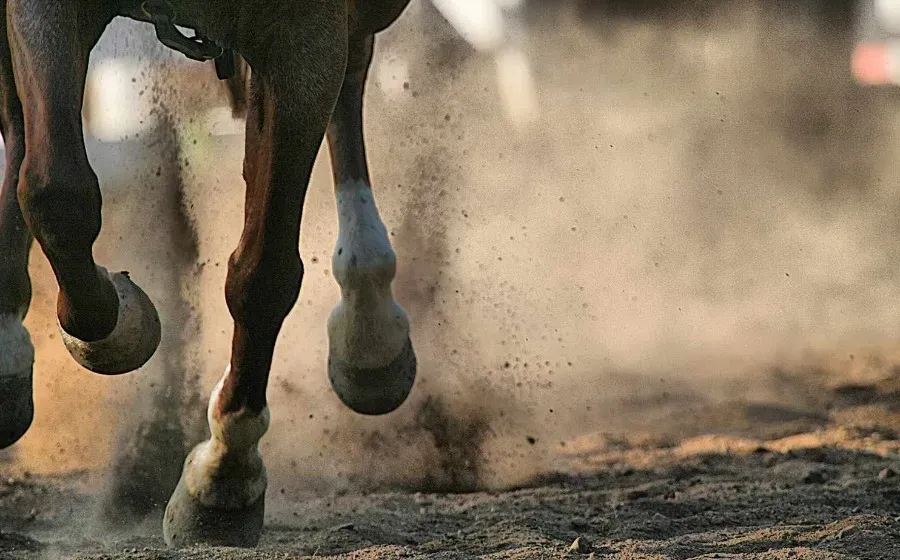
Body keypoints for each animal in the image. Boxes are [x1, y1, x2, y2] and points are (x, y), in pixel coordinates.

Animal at [0, 0, 418, 548]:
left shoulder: (305, 38)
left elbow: (263, 275)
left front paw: (224, 477)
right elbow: (55, 193)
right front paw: (120, 328)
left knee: (351, 73)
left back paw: (370, 333)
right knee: (20, 131)